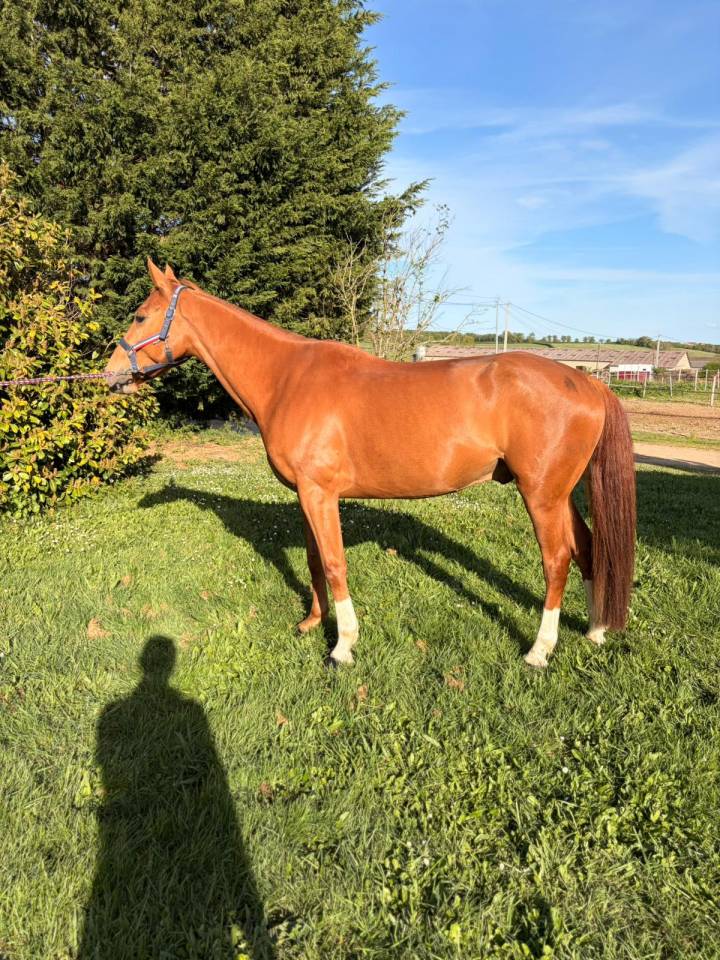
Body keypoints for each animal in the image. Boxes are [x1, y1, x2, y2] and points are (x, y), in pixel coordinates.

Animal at [105, 259, 636, 669]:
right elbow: (315, 559)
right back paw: (594, 631)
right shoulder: (307, 495)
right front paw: (312, 623)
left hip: (540, 495)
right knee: (588, 549)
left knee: (557, 560)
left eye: (140, 315)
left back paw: (539, 651)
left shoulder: (320, 493)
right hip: (560, 494)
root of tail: (589, 382)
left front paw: (342, 646)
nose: (110, 375)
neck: (287, 378)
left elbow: (335, 563)